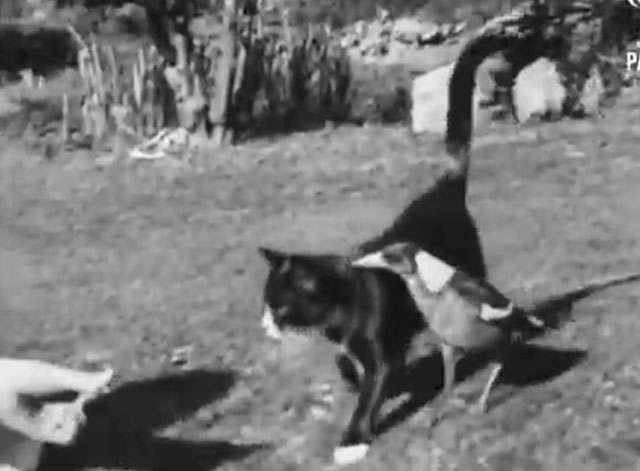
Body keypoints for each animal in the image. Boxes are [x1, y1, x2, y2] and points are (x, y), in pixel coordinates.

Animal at [258, 31, 512, 466]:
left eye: (280, 307)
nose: (265, 324)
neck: (343, 308)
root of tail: (445, 185)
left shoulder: (379, 354)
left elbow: (369, 394)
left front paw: (352, 440)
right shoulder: (354, 348)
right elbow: (347, 363)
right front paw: (356, 377)